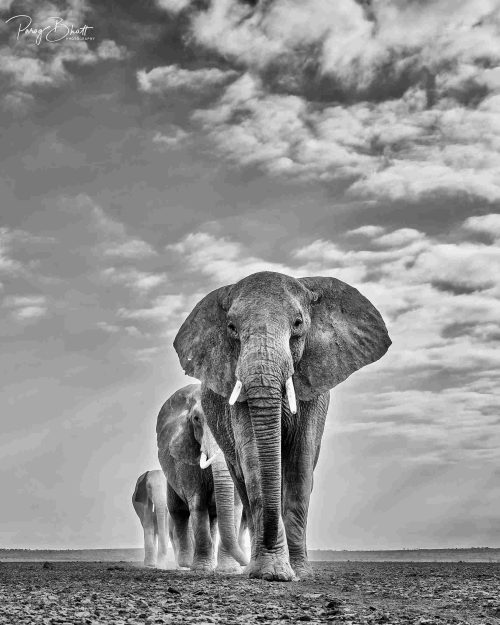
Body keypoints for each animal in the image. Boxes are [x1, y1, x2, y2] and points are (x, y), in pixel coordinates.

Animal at [156, 380, 248, 572]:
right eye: (196, 419)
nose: (246, 563)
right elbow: (198, 505)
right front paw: (202, 568)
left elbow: (235, 506)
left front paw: (228, 570)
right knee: (178, 511)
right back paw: (185, 563)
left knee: (213, 517)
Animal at [174, 272, 392, 580]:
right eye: (231, 327)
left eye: (298, 323)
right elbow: (254, 461)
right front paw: (271, 572)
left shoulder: (314, 389)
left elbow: (300, 465)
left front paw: (298, 573)